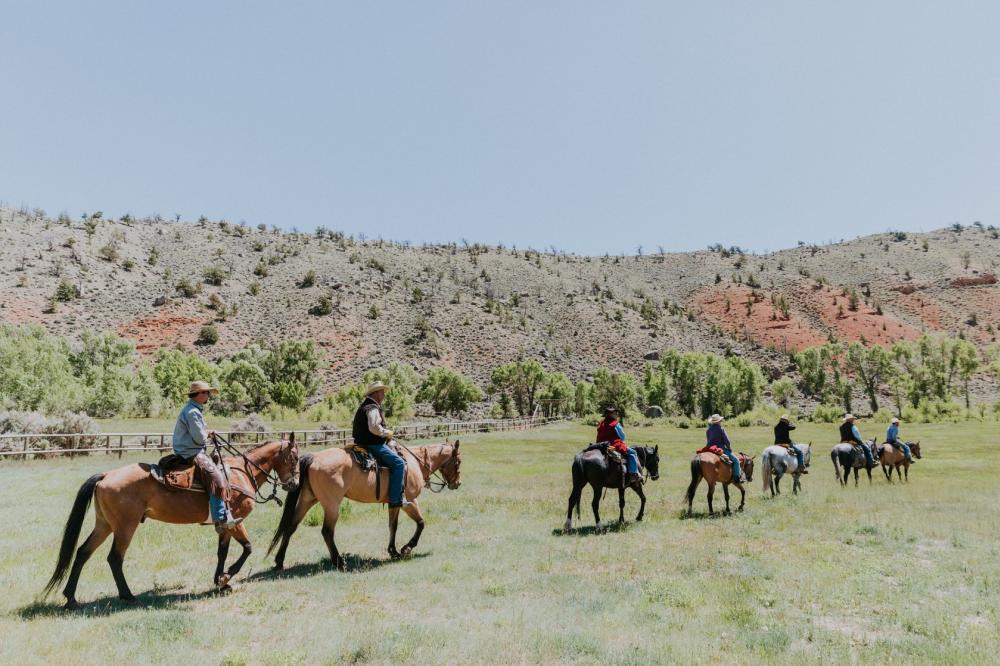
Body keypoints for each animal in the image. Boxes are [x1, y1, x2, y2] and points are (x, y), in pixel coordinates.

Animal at [44, 436, 300, 608]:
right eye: (295, 457)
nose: (294, 484)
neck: (241, 473)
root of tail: (106, 476)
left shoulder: (224, 526)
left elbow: (222, 552)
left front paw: (220, 581)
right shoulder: (236, 521)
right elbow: (247, 548)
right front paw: (226, 577)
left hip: (104, 525)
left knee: (82, 553)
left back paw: (71, 598)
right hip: (125, 527)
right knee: (114, 558)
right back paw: (128, 596)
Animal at [272, 438, 462, 568]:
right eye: (458, 462)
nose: (457, 484)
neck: (414, 461)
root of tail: (314, 457)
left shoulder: (394, 503)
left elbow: (393, 526)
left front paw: (393, 551)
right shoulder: (410, 501)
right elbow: (421, 523)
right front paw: (407, 548)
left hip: (307, 500)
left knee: (290, 527)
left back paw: (279, 561)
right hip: (332, 505)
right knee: (327, 531)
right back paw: (339, 561)